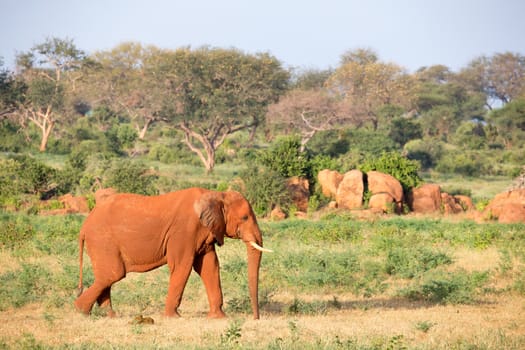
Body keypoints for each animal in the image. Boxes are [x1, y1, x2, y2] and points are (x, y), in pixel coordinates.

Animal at [73, 187, 270, 318]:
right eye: (245, 217)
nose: (255, 318)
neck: (216, 194)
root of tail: (84, 226)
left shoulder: (204, 233)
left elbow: (210, 266)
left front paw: (219, 318)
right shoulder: (184, 231)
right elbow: (182, 266)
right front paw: (172, 317)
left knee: (107, 276)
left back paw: (110, 315)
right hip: (102, 240)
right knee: (114, 274)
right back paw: (81, 311)